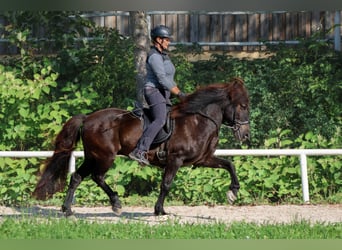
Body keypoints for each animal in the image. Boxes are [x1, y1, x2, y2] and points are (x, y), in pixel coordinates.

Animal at [33, 77, 250, 216]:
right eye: (243, 106)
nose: (245, 135)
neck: (197, 121)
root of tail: (87, 118)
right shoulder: (175, 159)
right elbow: (166, 184)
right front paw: (159, 210)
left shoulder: (203, 160)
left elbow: (229, 165)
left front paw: (233, 193)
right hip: (104, 156)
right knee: (97, 177)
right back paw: (116, 204)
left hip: (92, 156)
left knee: (77, 177)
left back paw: (68, 210)